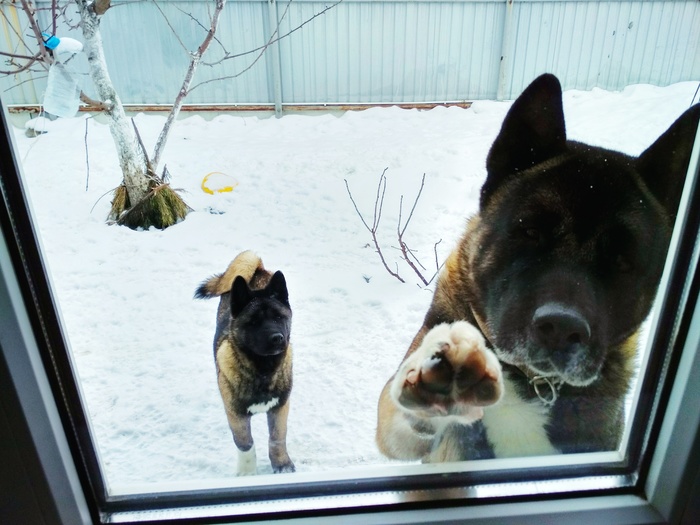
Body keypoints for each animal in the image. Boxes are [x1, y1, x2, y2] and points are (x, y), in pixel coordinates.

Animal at [194, 251, 296, 474]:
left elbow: (277, 438)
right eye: (254, 321)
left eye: (278, 317)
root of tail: (257, 268)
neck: (263, 370)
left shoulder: (280, 407)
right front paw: (248, 473)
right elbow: (245, 444)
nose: (277, 338)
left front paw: (282, 464)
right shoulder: (236, 415)